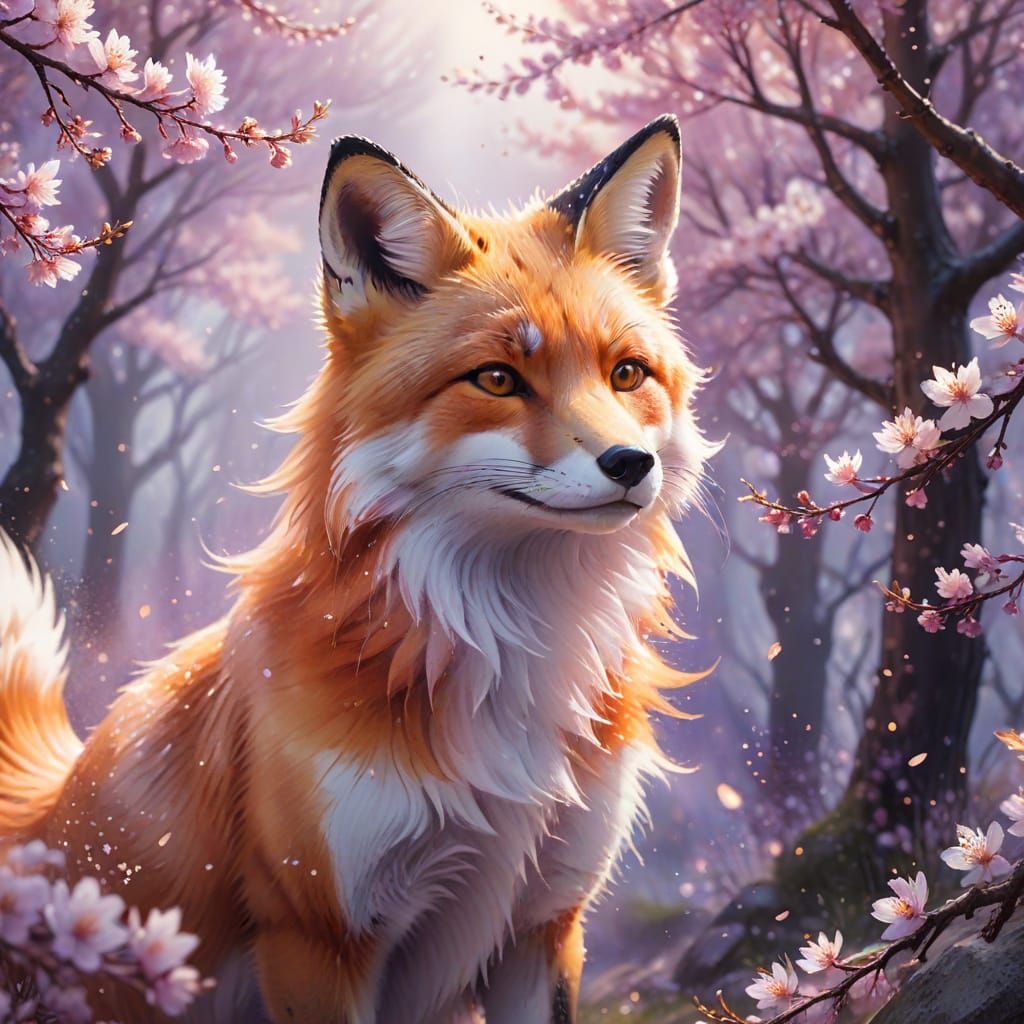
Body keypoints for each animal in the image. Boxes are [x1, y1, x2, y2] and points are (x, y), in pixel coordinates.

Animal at [0, 114, 714, 1023]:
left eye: (626, 374)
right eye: (497, 379)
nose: (631, 464)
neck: (510, 655)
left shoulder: (543, 922)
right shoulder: (319, 933)